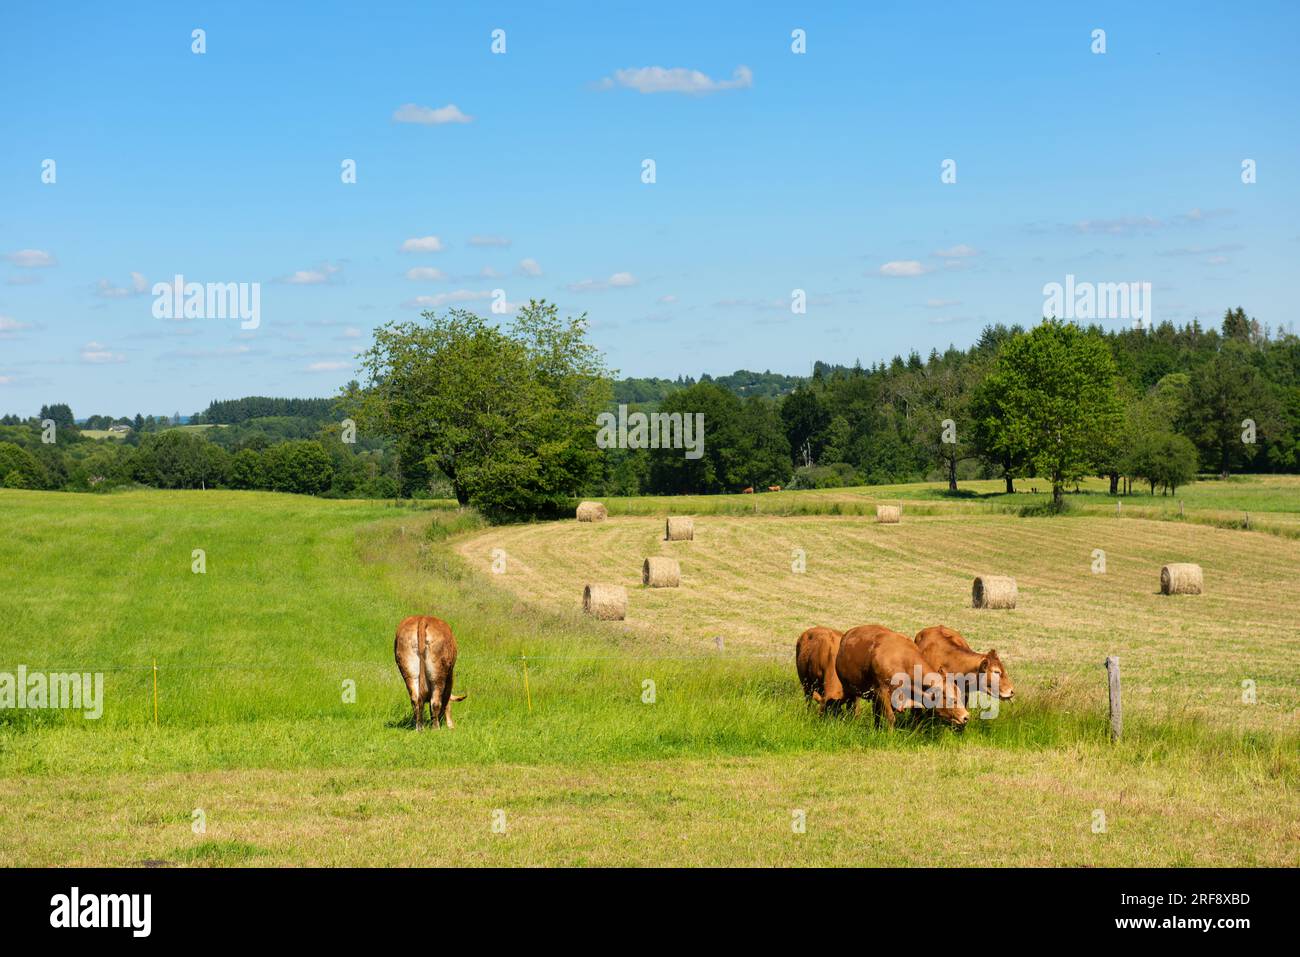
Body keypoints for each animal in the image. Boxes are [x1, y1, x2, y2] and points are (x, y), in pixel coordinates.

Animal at [837, 624, 972, 728]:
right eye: (951, 699)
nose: (966, 717)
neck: (902, 660)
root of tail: (848, 634)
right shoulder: (883, 691)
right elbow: (890, 718)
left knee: (875, 713)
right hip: (850, 688)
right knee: (854, 708)